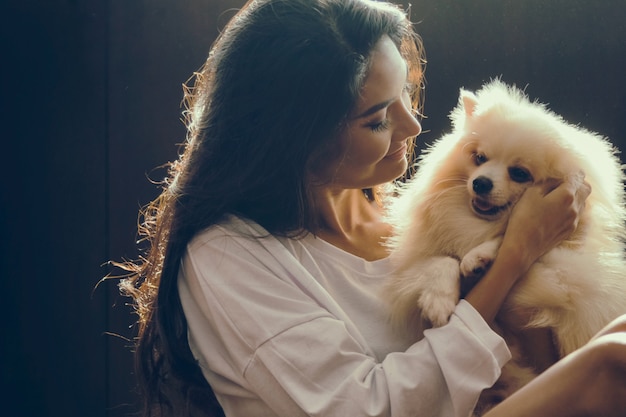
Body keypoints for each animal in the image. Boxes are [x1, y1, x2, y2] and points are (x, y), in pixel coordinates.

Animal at [382, 79, 624, 412]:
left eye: (519, 173)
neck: (476, 226)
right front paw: (439, 300)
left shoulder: (561, 273)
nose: (481, 183)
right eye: (479, 158)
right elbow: (440, 261)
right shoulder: (416, 259)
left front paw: (480, 256)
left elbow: (513, 243)